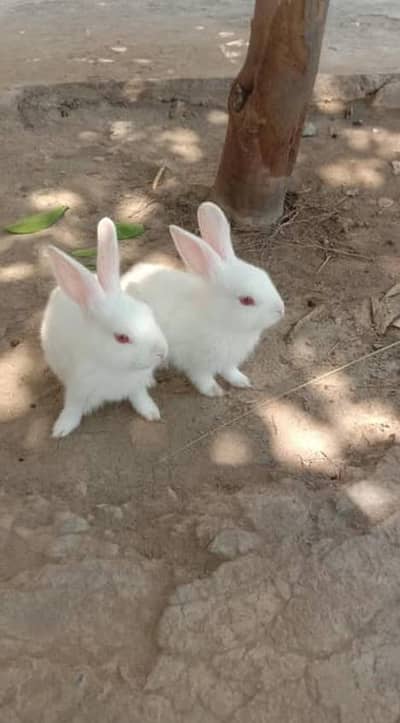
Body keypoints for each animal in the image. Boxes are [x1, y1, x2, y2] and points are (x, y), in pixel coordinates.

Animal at [41, 217, 168, 438]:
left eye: (148, 311)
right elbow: (72, 407)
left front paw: (151, 412)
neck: (113, 366)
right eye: (122, 338)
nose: (161, 353)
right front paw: (62, 428)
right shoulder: (77, 388)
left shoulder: (135, 385)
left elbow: (140, 397)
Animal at [121, 201, 284, 397]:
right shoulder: (197, 363)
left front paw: (242, 381)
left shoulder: (229, 360)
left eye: (264, 275)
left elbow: (230, 371)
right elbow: (203, 377)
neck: (221, 321)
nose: (281, 310)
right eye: (246, 300)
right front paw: (214, 391)